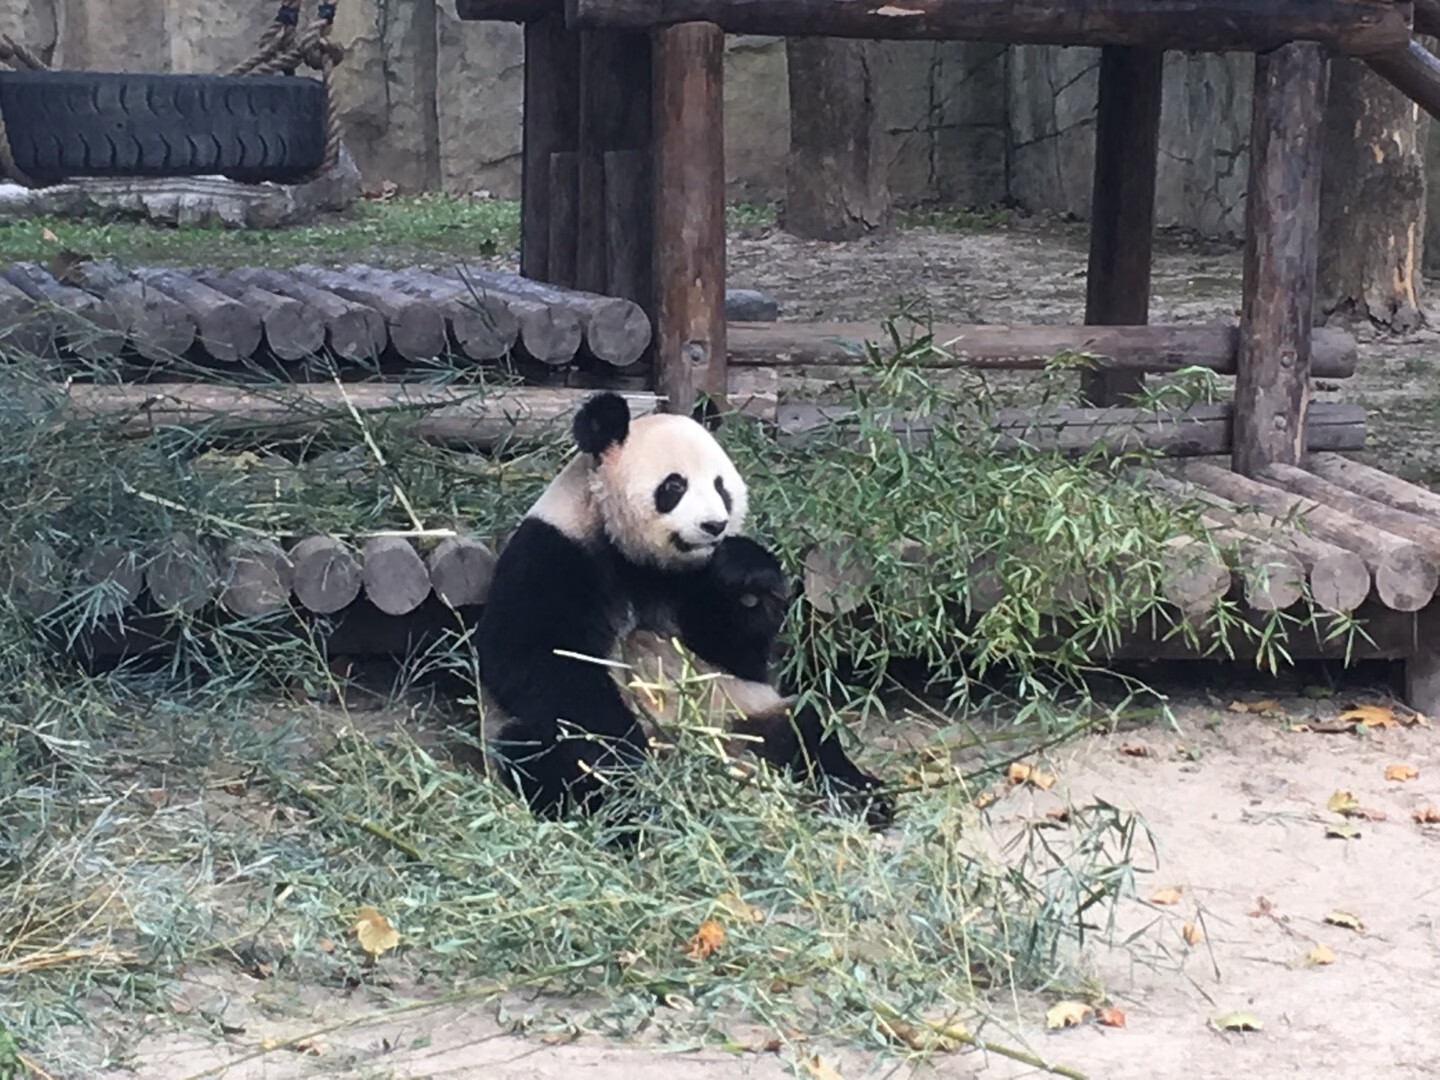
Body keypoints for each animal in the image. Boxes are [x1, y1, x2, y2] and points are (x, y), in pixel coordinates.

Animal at [478, 394, 892, 823]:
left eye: (721, 487)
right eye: (674, 486)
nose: (714, 525)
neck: (638, 558)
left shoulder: (694, 584)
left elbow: (740, 652)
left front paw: (746, 572)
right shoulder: (555, 553)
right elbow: (534, 658)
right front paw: (623, 748)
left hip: (742, 709)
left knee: (805, 728)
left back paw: (864, 795)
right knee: (550, 753)